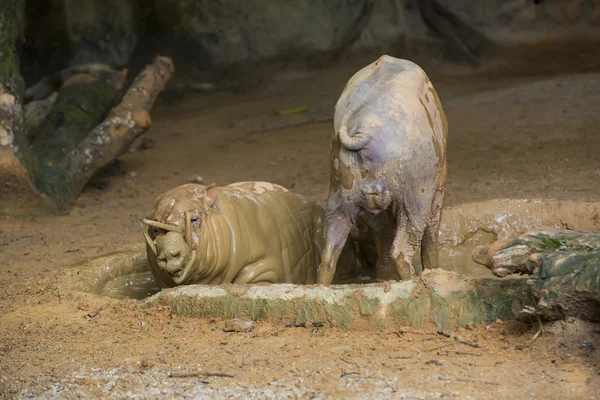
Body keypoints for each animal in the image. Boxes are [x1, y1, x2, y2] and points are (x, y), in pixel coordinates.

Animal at [316, 54, 448, 284]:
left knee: (328, 254)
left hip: (340, 195)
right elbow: (431, 235)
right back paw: (412, 280)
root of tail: (367, 130)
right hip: (415, 198)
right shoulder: (436, 190)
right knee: (401, 251)